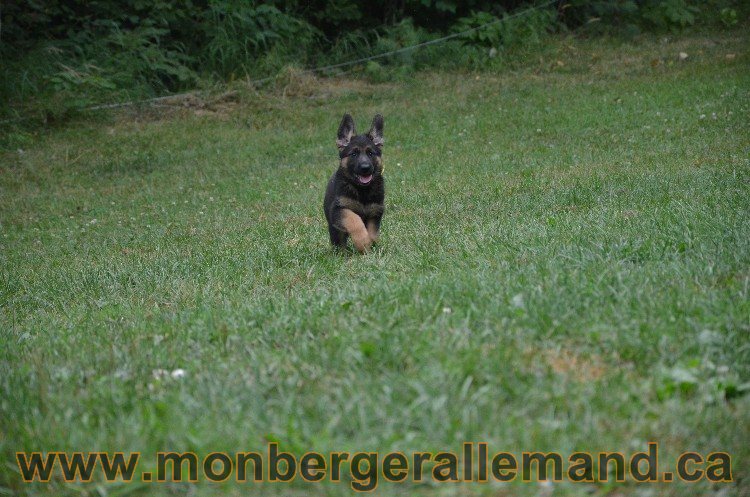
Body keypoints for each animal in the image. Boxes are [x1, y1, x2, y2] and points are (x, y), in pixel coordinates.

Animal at [324, 112, 384, 252]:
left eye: (370, 153)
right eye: (354, 154)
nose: (365, 168)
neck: (362, 190)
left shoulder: (375, 212)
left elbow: (372, 232)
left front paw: (370, 246)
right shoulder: (339, 210)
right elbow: (354, 220)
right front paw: (363, 242)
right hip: (334, 228)